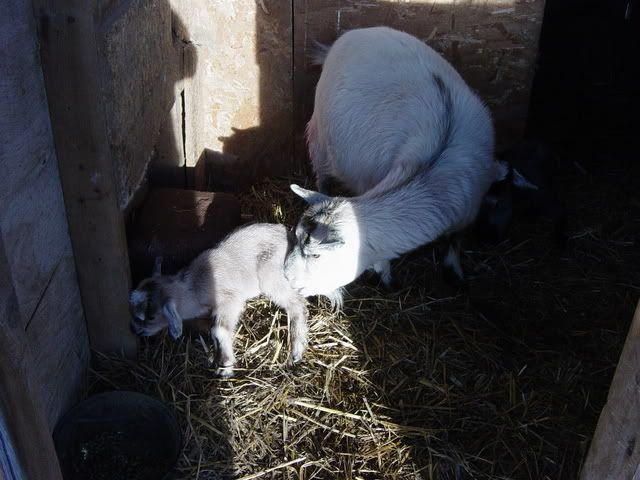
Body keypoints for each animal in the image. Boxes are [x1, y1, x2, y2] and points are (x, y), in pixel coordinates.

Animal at [129, 223, 330, 377]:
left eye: (150, 316)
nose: (137, 331)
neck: (193, 287)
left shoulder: (230, 301)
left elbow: (219, 330)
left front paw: (226, 366)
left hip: (270, 275)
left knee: (297, 304)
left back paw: (296, 349)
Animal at [284, 26, 510, 296]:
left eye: (316, 255)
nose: (287, 278)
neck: (431, 170)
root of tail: (354, 34)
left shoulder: (466, 212)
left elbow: (454, 242)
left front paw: (455, 272)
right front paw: (387, 277)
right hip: (320, 136)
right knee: (323, 176)